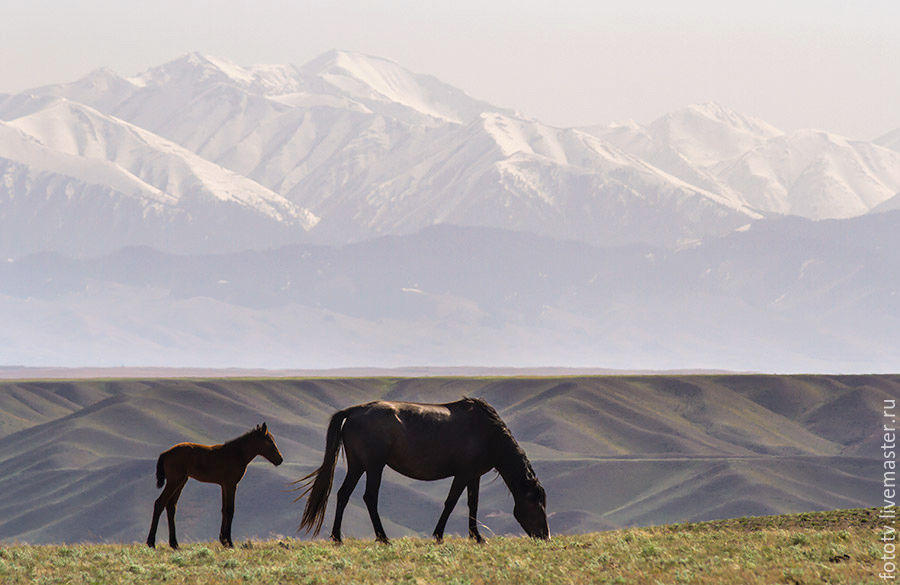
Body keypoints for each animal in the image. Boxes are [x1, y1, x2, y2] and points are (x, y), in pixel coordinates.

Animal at [146, 420, 284, 548]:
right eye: (270, 441)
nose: (280, 460)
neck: (237, 453)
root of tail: (166, 453)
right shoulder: (231, 485)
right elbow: (230, 510)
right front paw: (229, 542)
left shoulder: (223, 485)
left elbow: (224, 510)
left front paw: (223, 540)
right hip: (174, 481)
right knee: (159, 503)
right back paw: (151, 542)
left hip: (181, 482)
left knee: (171, 506)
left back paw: (174, 544)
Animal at [296, 396, 548, 544]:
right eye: (536, 504)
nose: (545, 536)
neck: (488, 433)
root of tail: (354, 411)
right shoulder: (463, 474)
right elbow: (451, 502)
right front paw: (438, 536)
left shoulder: (473, 476)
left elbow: (472, 504)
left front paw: (477, 537)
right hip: (374, 466)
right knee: (370, 498)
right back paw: (383, 538)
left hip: (358, 466)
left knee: (343, 494)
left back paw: (337, 537)